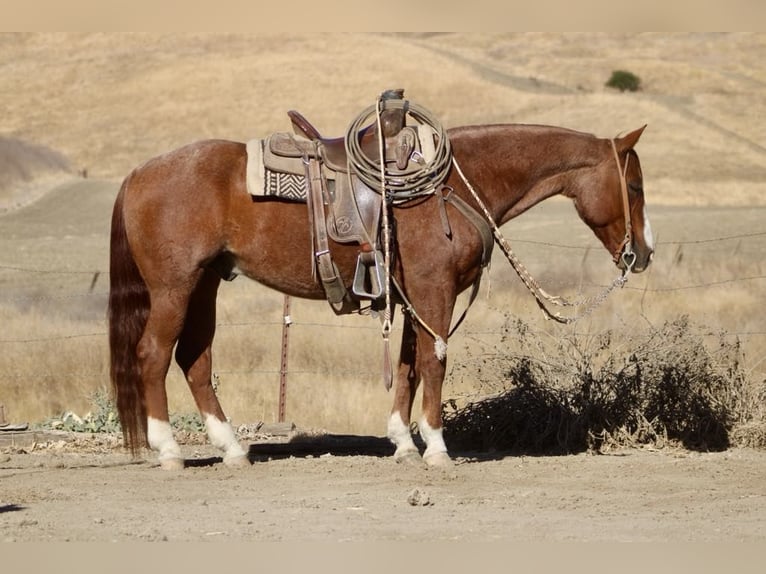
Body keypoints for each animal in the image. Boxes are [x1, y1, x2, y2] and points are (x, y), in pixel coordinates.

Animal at [108, 120, 656, 468]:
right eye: (633, 186)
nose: (644, 253)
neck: (454, 184)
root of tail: (138, 173)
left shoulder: (413, 295)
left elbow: (409, 363)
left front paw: (403, 442)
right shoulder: (435, 290)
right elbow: (435, 360)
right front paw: (436, 448)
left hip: (203, 285)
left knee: (194, 360)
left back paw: (233, 449)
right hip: (174, 288)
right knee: (154, 354)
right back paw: (169, 450)